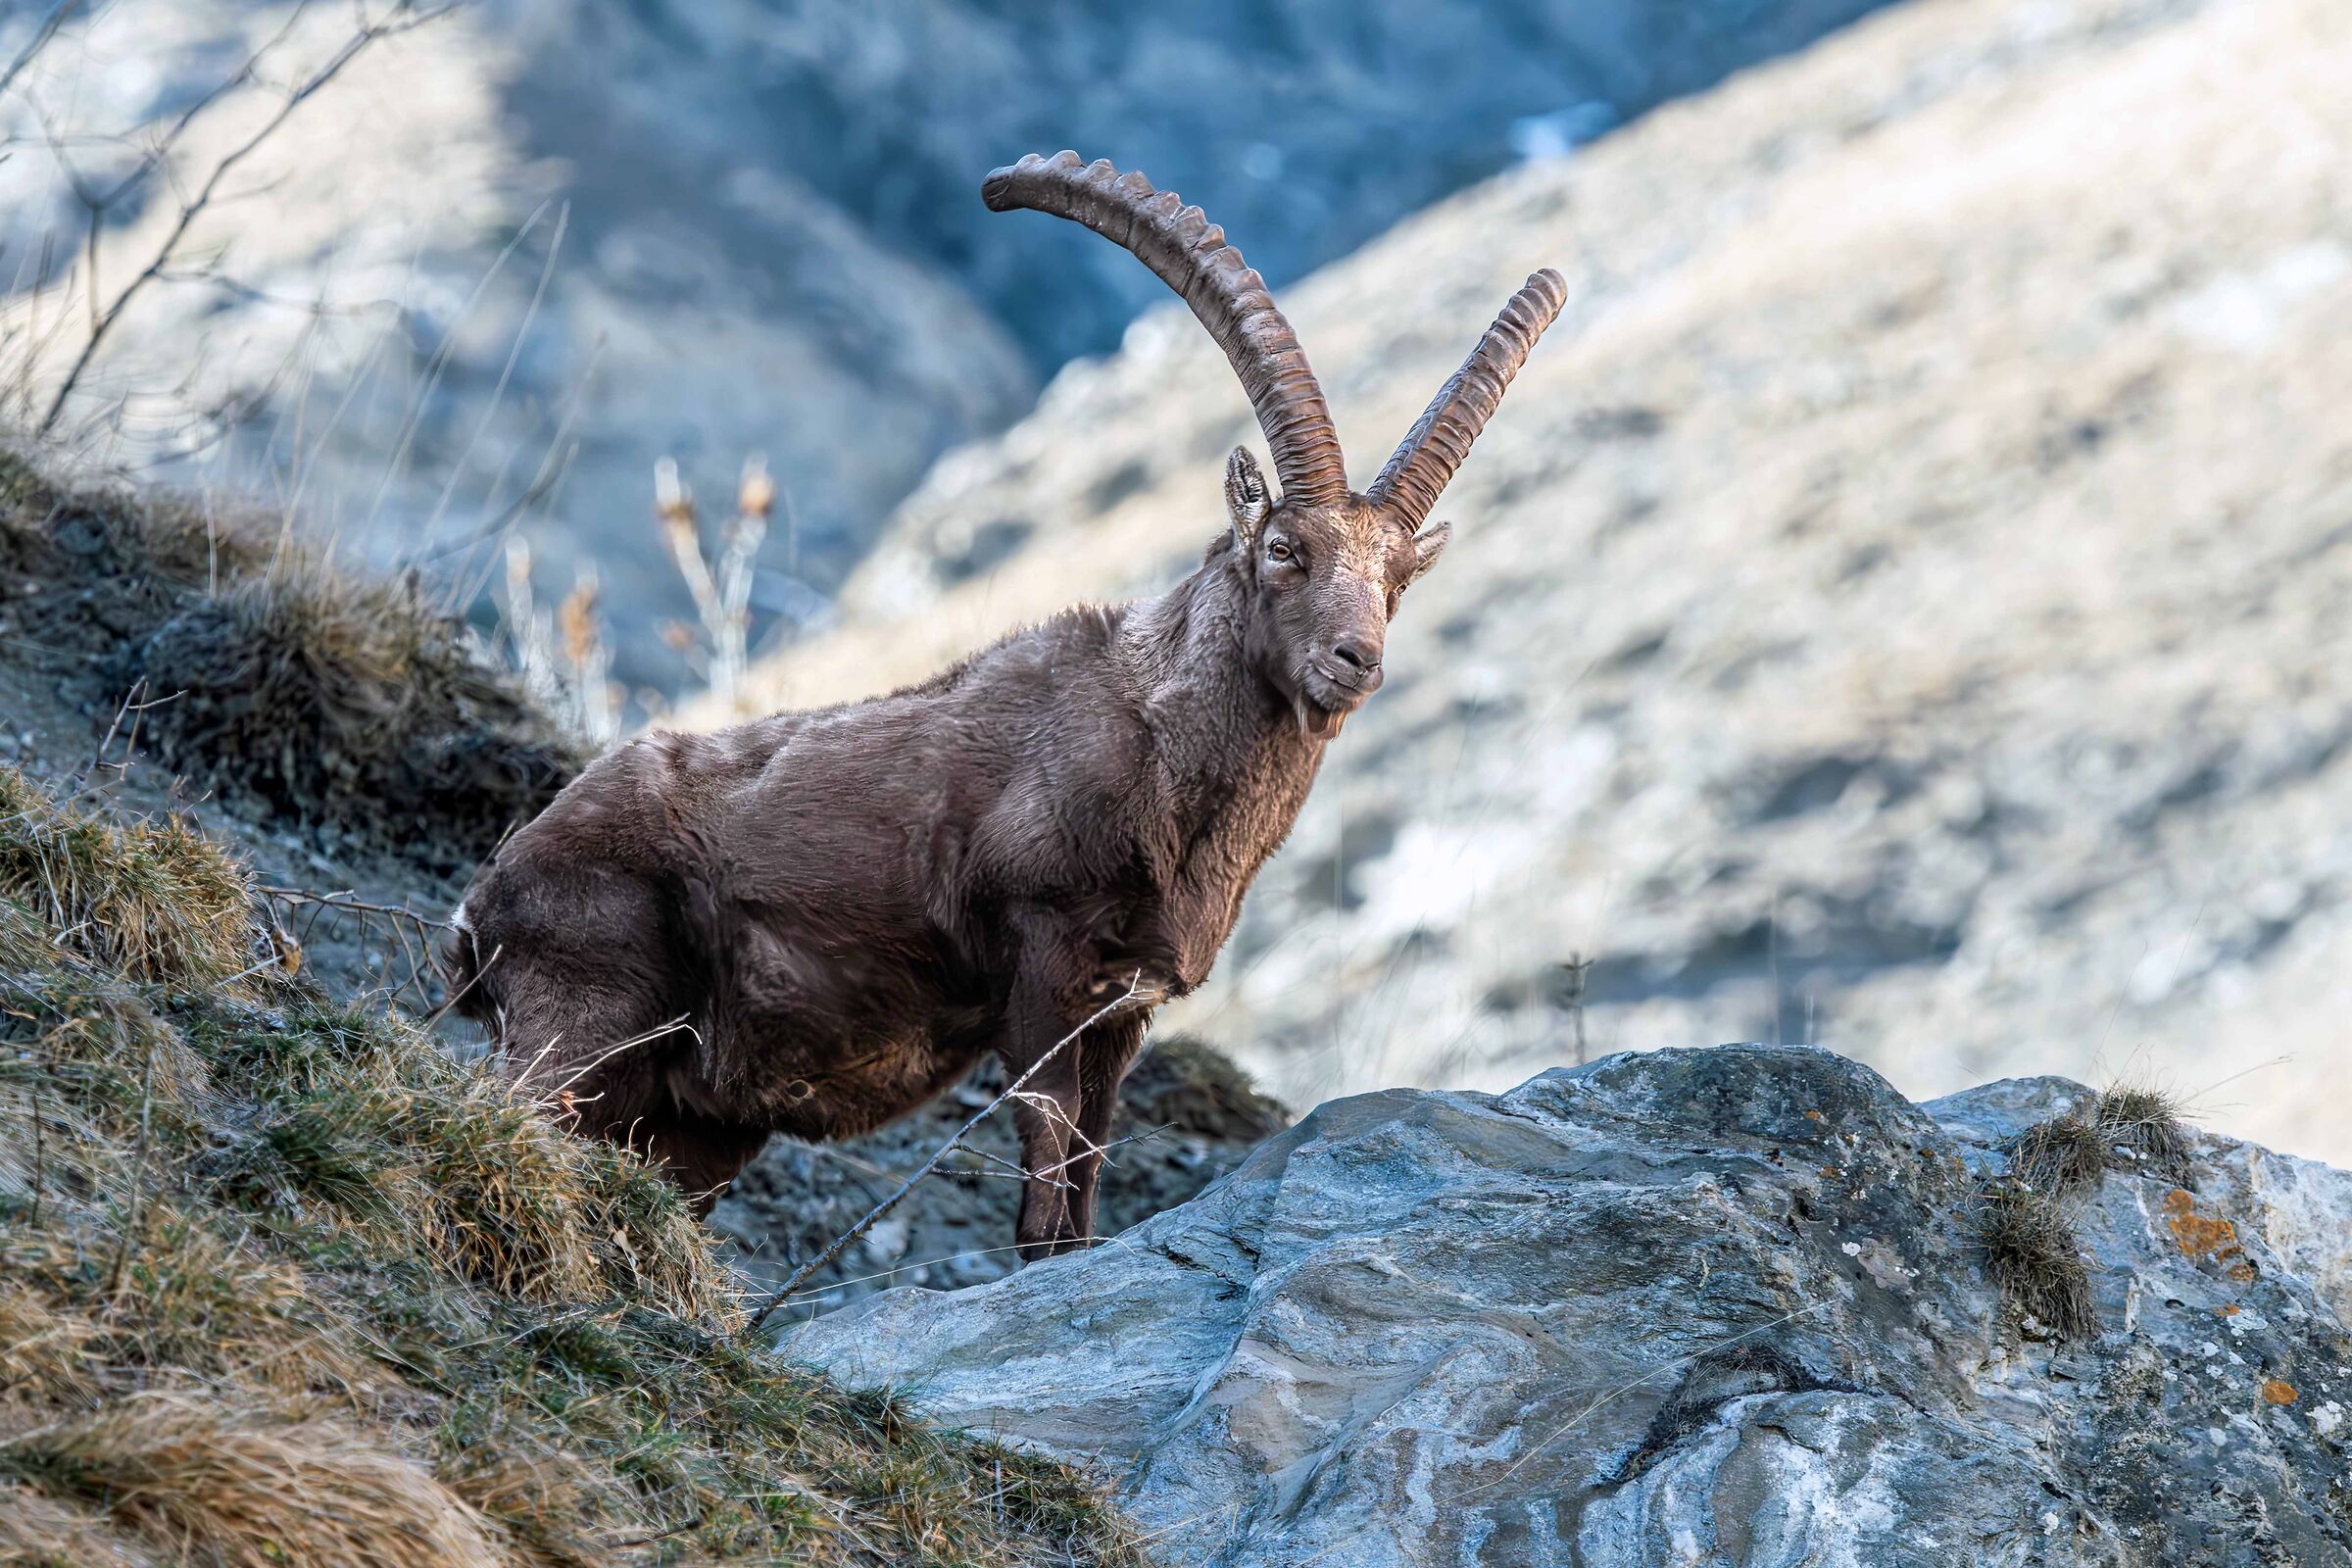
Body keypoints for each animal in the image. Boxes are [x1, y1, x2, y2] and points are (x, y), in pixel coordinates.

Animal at [442, 151, 1565, 1260]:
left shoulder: (1120, 1014)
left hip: (694, 1119)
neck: (1161, 756)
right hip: (583, 1017)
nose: (1356, 660)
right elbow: (1043, 1170)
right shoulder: (1041, 961)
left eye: (1399, 578)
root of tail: (485, 901)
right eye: (1285, 547)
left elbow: (1087, 1180)